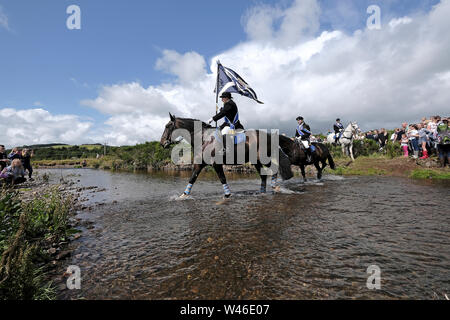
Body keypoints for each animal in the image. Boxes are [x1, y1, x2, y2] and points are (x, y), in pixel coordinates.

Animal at [160, 112, 294, 198]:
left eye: (167, 126)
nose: (162, 143)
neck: (203, 138)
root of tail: (268, 135)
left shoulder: (216, 164)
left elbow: (222, 178)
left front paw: (227, 195)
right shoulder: (200, 164)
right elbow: (192, 178)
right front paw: (183, 195)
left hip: (263, 158)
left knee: (274, 169)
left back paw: (275, 186)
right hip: (256, 161)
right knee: (263, 176)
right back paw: (262, 192)